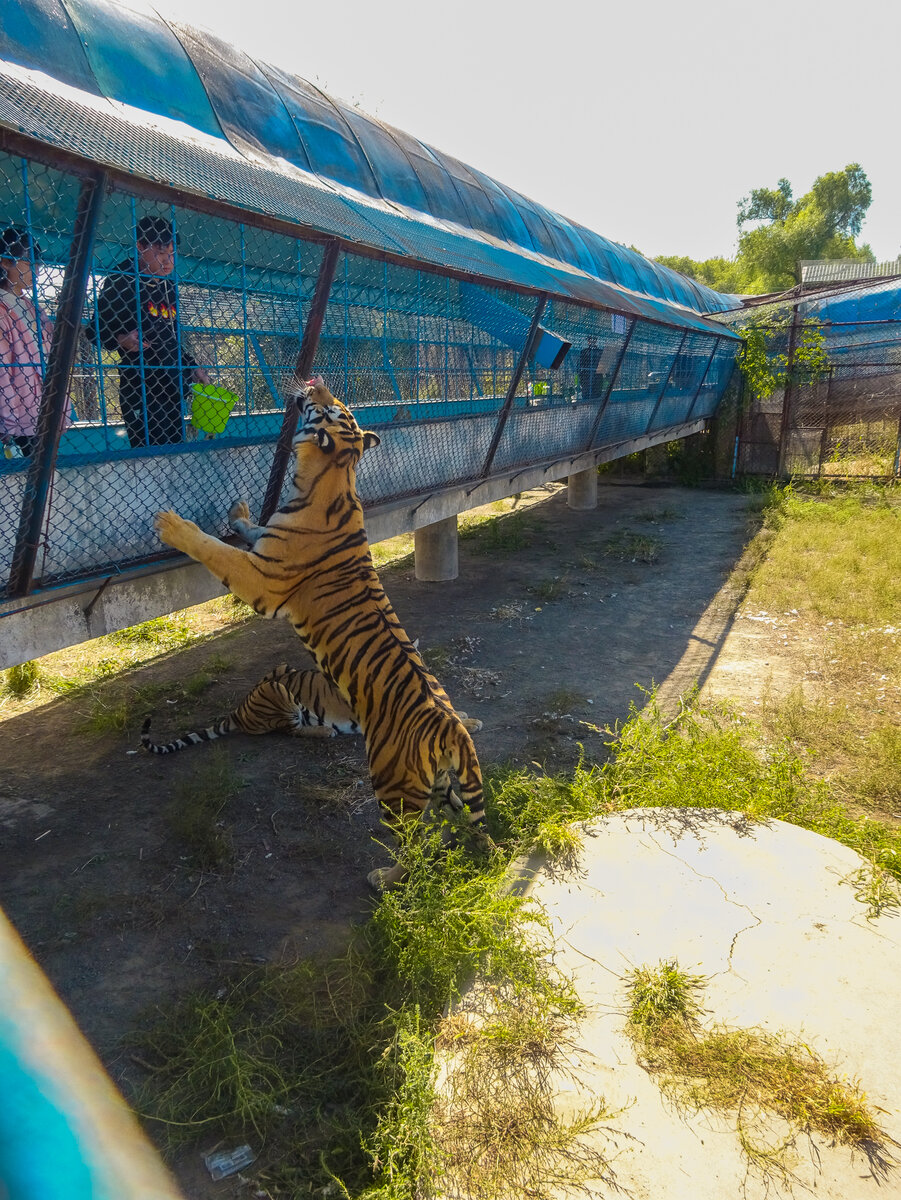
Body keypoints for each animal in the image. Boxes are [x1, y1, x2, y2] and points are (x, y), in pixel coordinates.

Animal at [154, 377, 491, 889]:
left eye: (331, 409)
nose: (317, 383)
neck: (330, 473)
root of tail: (450, 726)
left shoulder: (263, 581)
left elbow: (216, 551)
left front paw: (173, 526)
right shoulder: (264, 547)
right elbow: (248, 528)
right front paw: (239, 510)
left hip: (391, 784)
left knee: (412, 841)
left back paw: (384, 877)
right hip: (445, 786)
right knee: (458, 824)